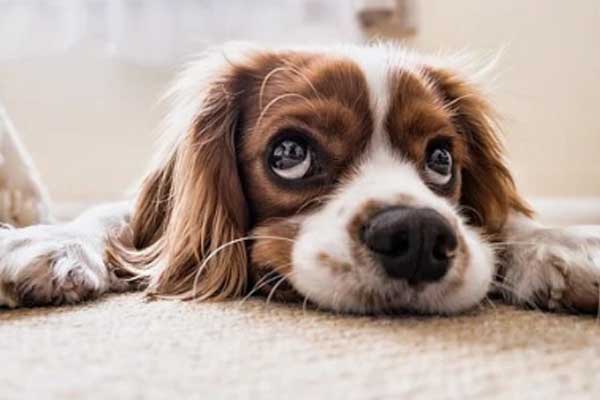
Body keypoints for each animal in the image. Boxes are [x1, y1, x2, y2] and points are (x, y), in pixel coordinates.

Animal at [1, 43, 600, 312]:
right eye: (289, 153)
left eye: (441, 159)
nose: (418, 234)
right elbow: (110, 217)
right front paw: (48, 243)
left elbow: (506, 223)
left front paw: (563, 243)